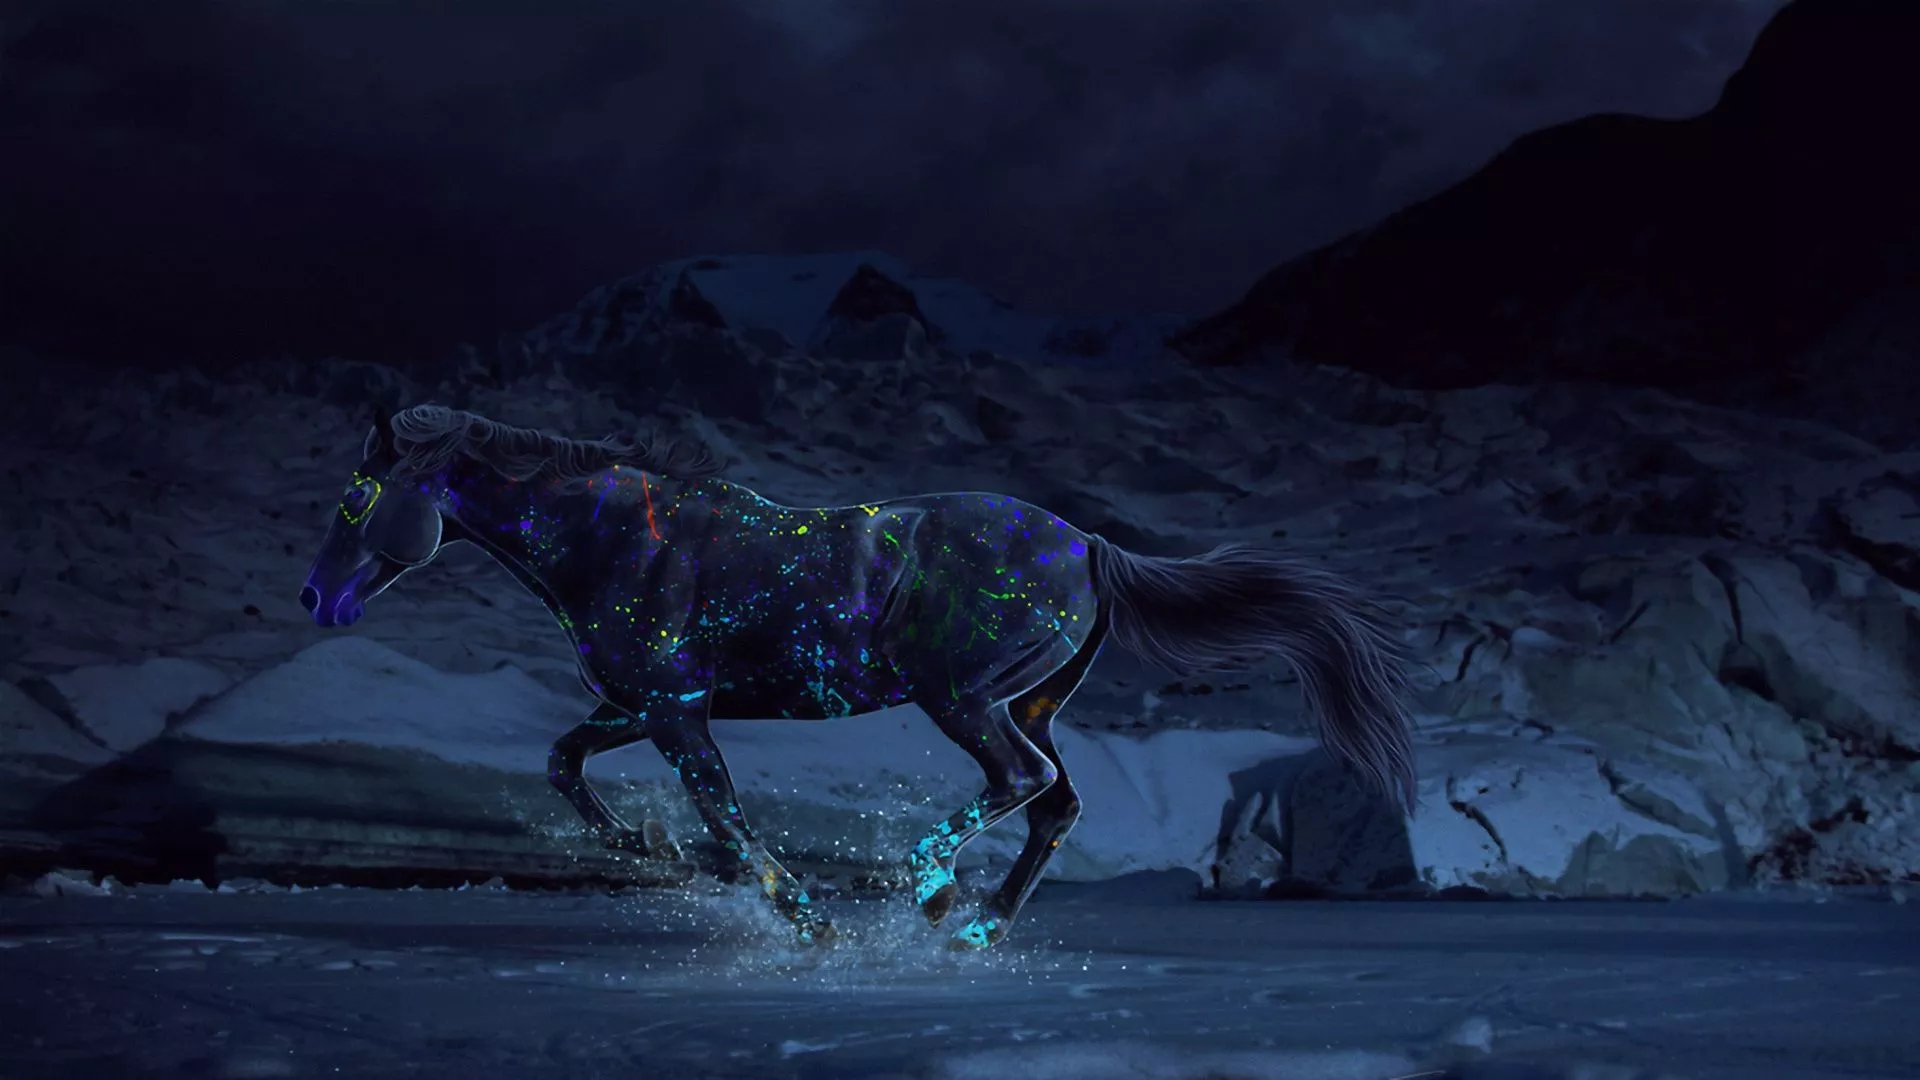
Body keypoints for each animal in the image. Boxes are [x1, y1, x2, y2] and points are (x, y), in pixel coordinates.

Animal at [299, 404, 1417, 949]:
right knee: (1056, 803)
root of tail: (1091, 546)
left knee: (1021, 785)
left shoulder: (677, 713)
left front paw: (809, 918)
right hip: (1032, 702)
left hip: (965, 699)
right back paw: (974, 927)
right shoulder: (647, 706)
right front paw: (642, 845)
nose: (318, 599)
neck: (615, 538)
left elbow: (727, 820)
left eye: (356, 496)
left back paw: (930, 890)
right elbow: (564, 760)